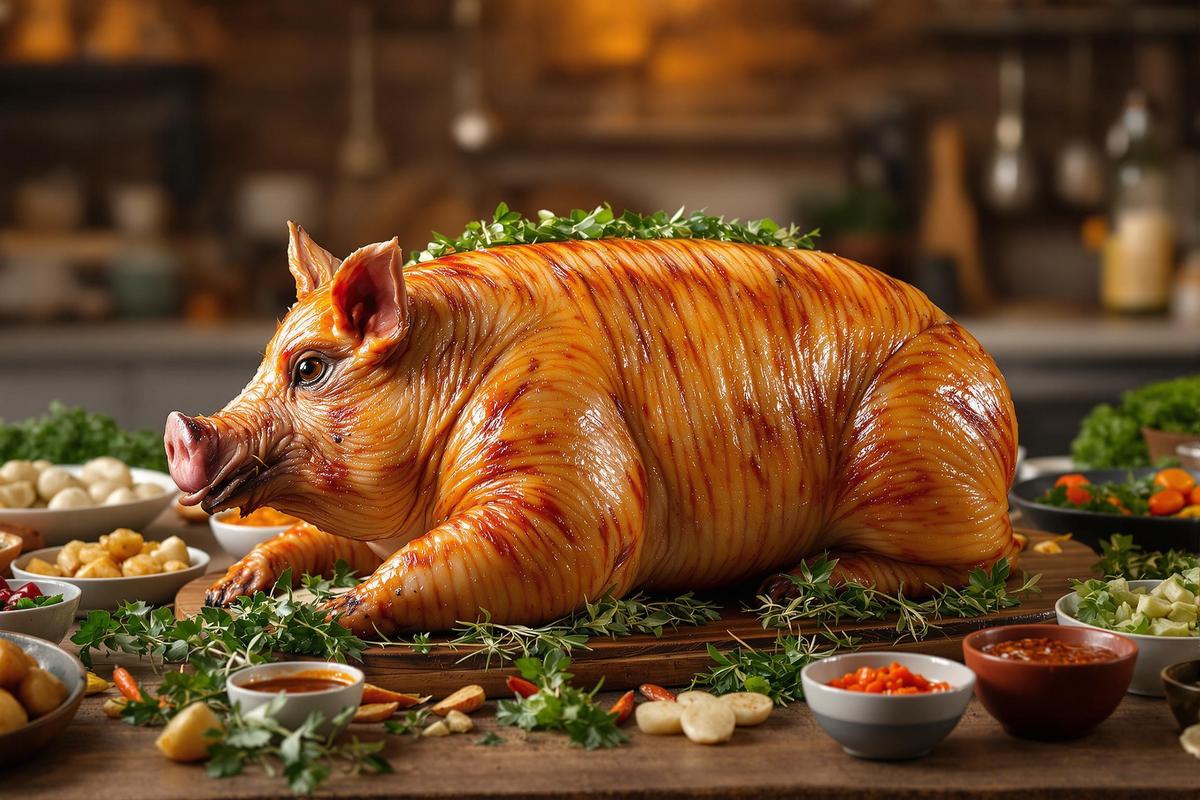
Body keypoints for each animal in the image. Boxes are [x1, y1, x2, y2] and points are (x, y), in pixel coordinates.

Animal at [167, 223, 1018, 636]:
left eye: (309, 367)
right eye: (267, 357)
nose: (182, 428)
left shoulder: (559, 447)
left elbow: (536, 536)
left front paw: (323, 613)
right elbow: (312, 539)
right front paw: (233, 593)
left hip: (917, 445)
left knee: (976, 562)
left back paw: (790, 588)